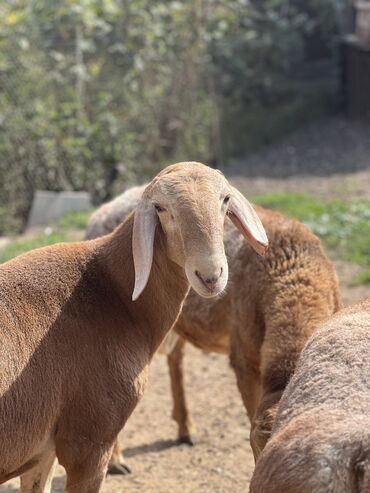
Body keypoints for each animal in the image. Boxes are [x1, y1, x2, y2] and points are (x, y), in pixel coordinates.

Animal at [0, 162, 268, 492]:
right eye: (162, 209)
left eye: (225, 199)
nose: (210, 276)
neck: (113, 293)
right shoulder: (87, 442)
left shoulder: (42, 453)